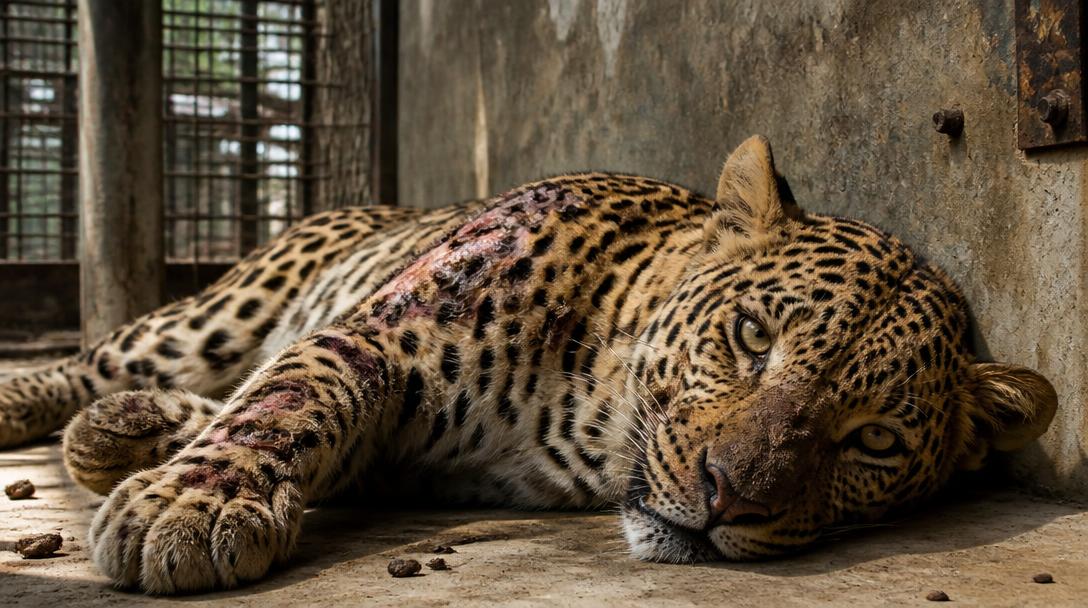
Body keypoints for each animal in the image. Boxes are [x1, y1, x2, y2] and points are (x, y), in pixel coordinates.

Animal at [0, 136, 1056, 594]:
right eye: (754, 337)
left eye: (872, 441)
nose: (730, 497)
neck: (590, 413)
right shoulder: (383, 334)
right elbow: (298, 392)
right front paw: (193, 505)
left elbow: (301, 417)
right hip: (225, 310)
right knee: (112, 355)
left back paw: (123, 431)